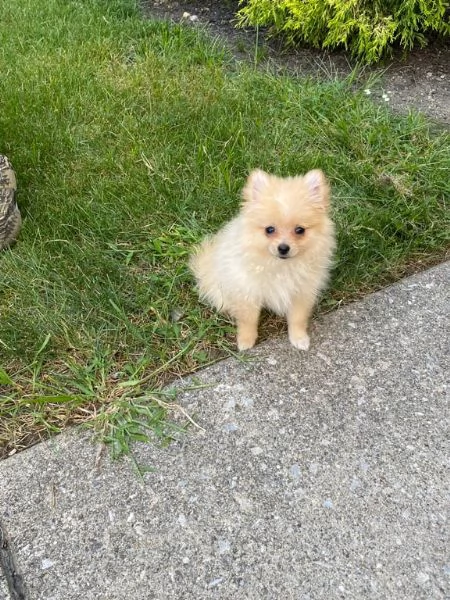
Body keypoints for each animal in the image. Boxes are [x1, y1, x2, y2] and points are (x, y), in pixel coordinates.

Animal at [189, 169, 334, 352]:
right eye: (269, 230)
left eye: (300, 230)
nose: (283, 248)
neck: (280, 266)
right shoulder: (247, 291)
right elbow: (248, 320)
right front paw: (245, 341)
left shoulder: (301, 292)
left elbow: (297, 318)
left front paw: (299, 338)